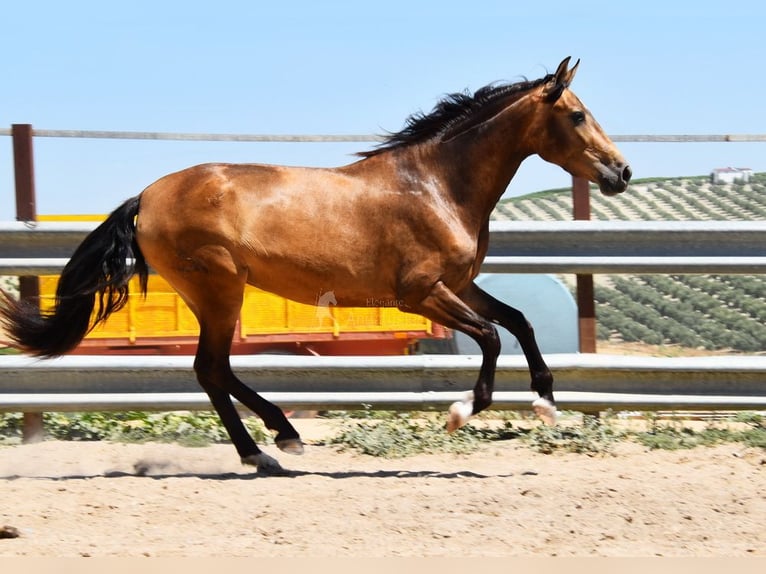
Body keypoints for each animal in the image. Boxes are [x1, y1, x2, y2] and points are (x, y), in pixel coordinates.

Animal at [0, 57, 632, 476]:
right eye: (578, 116)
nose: (621, 173)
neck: (436, 186)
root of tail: (146, 198)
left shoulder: (458, 285)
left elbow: (519, 321)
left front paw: (546, 404)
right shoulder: (420, 292)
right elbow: (491, 337)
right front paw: (460, 411)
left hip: (218, 296)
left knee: (215, 370)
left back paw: (277, 441)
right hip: (219, 290)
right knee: (210, 369)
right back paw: (271, 447)